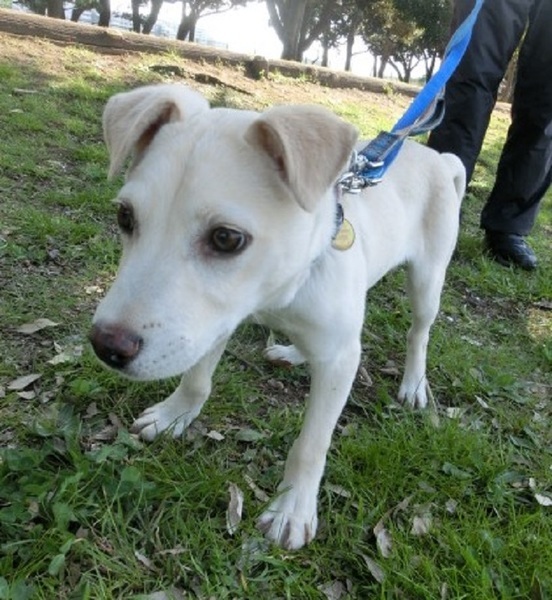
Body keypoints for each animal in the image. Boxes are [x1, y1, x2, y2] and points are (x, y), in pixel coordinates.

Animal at [90, 84, 465, 550]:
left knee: (419, 332)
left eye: (226, 238)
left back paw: (413, 383)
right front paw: (174, 414)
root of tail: (438, 157)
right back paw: (294, 352)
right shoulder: (214, 321)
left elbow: (311, 444)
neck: (281, 292)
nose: (106, 346)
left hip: (428, 280)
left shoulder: (336, 358)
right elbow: (196, 379)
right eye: (125, 216)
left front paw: (292, 509)